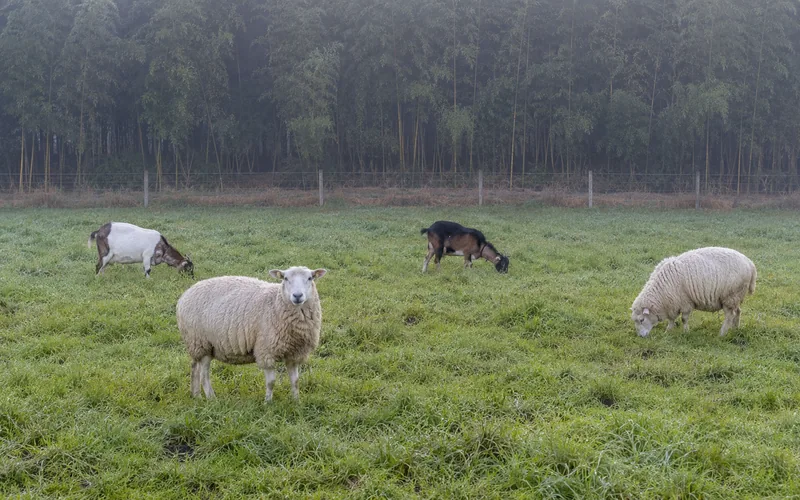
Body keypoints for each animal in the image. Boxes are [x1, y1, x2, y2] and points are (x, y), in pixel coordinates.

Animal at [176, 266, 327, 401]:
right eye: (285, 278)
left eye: (310, 278)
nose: (297, 296)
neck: (275, 303)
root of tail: (184, 295)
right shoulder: (266, 351)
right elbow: (271, 382)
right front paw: (268, 403)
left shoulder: (294, 353)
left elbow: (295, 381)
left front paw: (296, 402)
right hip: (202, 343)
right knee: (204, 374)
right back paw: (211, 398)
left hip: (196, 345)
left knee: (194, 367)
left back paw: (196, 395)